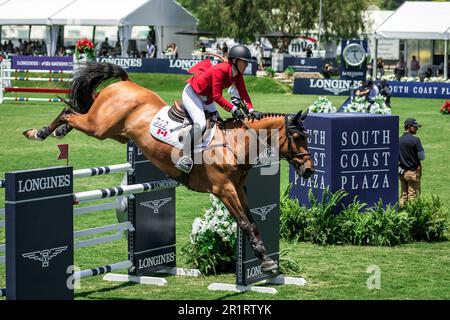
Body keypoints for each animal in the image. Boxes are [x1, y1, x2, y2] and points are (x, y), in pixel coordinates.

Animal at [23, 62, 312, 272]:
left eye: (307, 136)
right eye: (297, 137)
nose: (309, 170)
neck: (236, 143)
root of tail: (125, 83)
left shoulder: (239, 189)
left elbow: (252, 222)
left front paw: (266, 259)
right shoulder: (224, 190)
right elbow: (244, 223)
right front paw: (267, 262)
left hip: (115, 132)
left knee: (77, 112)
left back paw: (57, 131)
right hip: (99, 126)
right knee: (69, 113)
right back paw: (38, 133)